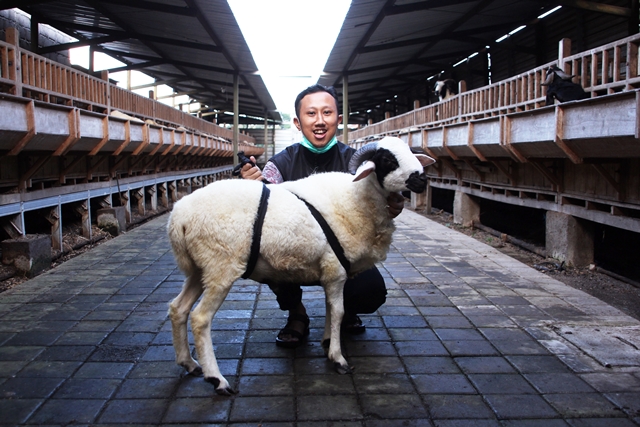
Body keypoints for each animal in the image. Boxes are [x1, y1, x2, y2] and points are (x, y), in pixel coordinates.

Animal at [166, 136, 436, 394]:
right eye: (388, 160)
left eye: (411, 153)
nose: (422, 180)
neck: (355, 199)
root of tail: (179, 216)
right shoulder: (336, 270)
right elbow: (338, 311)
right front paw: (338, 359)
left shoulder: (332, 273)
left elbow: (331, 309)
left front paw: (327, 343)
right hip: (220, 267)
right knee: (200, 318)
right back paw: (217, 380)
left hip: (199, 269)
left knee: (178, 308)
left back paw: (189, 363)